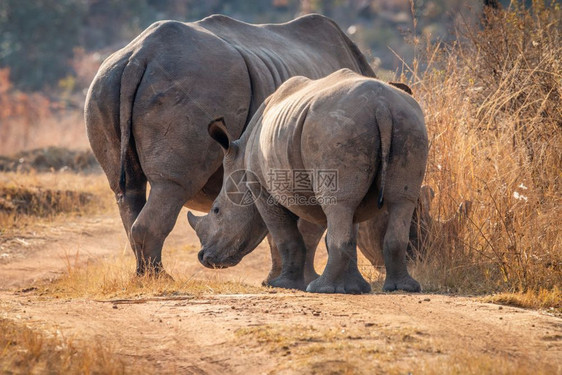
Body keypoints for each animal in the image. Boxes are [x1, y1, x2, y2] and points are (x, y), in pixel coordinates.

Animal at [85, 14, 374, 274]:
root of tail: (138, 56)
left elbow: (278, 227)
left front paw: (279, 277)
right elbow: (305, 228)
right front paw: (300, 278)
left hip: (105, 83)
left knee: (127, 189)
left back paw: (144, 277)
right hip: (196, 83)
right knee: (171, 185)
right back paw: (160, 279)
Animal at [186, 70, 426, 294]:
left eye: (216, 210)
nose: (204, 258)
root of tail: (381, 105)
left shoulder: (261, 188)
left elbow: (288, 237)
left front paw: (283, 285)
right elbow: (347, 226)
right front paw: (354, 288)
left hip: (334, 129)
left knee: (338, 203)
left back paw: (321, 288)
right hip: (407, 123)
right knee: (400, 201)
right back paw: (402, 288)